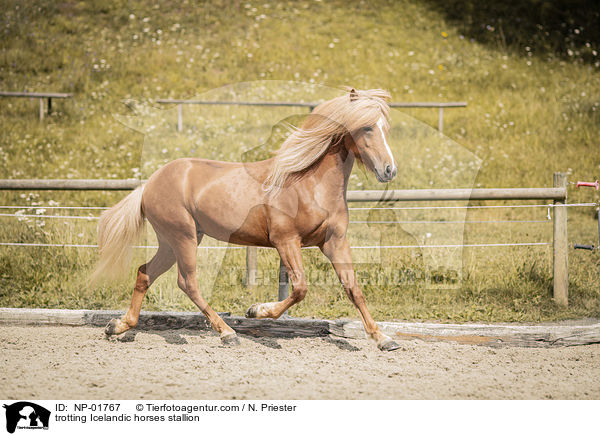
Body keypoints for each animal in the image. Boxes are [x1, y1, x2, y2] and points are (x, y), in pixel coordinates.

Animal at [95, 88, 404, 350]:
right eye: (366, 127)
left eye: (385, 128)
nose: (389, 170)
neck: (310, 184)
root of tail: (149, 183)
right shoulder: (286, 241)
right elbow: (300, 289)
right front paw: (256, 310)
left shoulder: (335, 242)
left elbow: (353, 289)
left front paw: (383, 339)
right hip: (182, 238)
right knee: (187, 283)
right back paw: (227, 333)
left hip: (173, 242)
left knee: (144, 273)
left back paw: (118, 326)